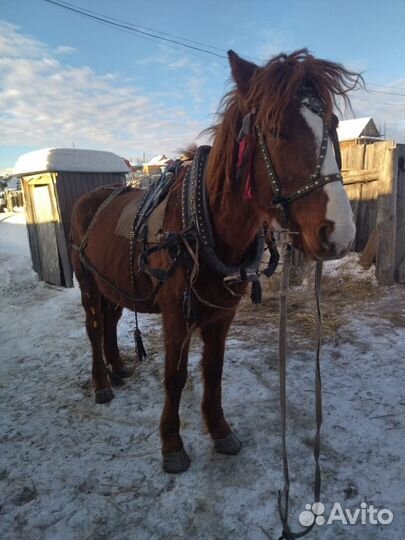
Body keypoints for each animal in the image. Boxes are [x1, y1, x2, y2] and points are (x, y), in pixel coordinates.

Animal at [70, 49, 360, 472]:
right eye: (276, 130)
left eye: (333, 124)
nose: (339, 233)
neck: (203, 223)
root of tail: (89, 198)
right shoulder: (177, 316)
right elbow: (175, 376)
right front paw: (171, 443)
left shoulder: (221, 315)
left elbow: (214, 370)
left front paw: (219, 429)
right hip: (89, 284)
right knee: (93, 327)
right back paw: (102, 383)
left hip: (114, 284)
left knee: (109, 321)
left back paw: (118, 366)